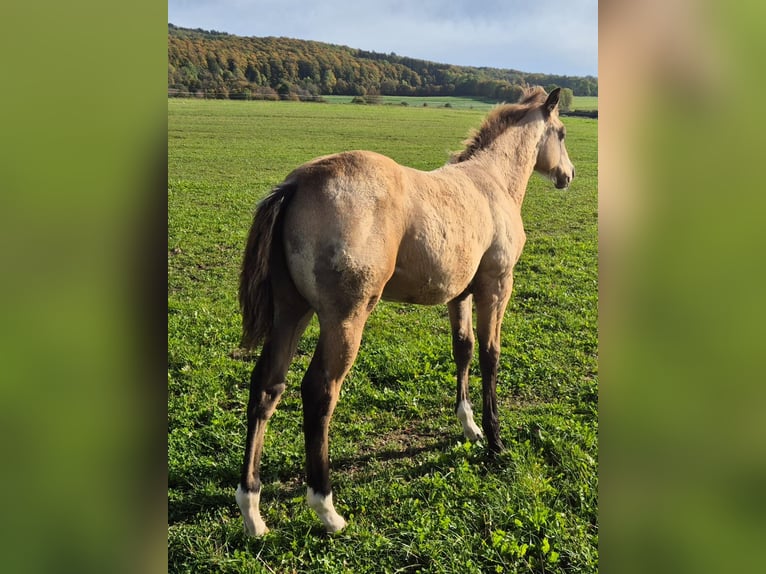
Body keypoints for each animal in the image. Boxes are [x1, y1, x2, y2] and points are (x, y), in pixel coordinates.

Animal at [237, 88, 572, 536]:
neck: (491, 182)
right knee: (319, 390)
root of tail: (296, 184)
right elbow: (490, 356)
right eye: (563, 133)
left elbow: (463, 349)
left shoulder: (459, 294)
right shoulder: (496, 287)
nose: (569, 175)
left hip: (292, 312)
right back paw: (326, 507)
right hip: (345, 318)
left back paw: (252, 509)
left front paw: (469, 426)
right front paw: (496, 439)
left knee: (267, 386)